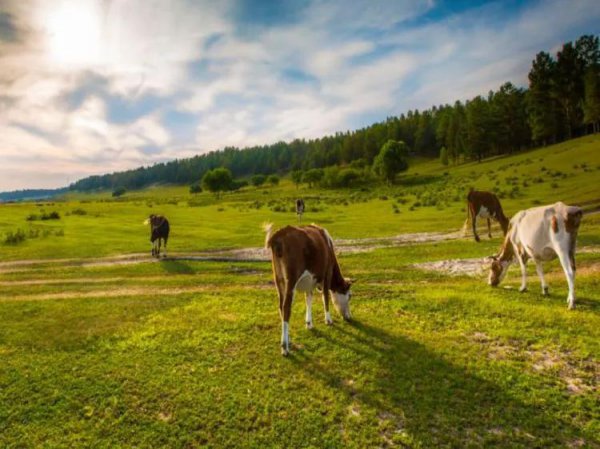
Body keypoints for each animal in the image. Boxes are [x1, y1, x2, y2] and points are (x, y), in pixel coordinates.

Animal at [264, 222, 354, 356]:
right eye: (349, 296)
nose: (349, 317)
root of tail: (280, 233)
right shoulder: (327, 273)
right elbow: (325, 297)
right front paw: (328, 320)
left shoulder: (309, 281)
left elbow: (309, 299)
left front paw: (309, 323)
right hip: (291, 280)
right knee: (286, 307)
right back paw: (284, 347)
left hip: (278, 280)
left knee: (281, 307)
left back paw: (288, 339)